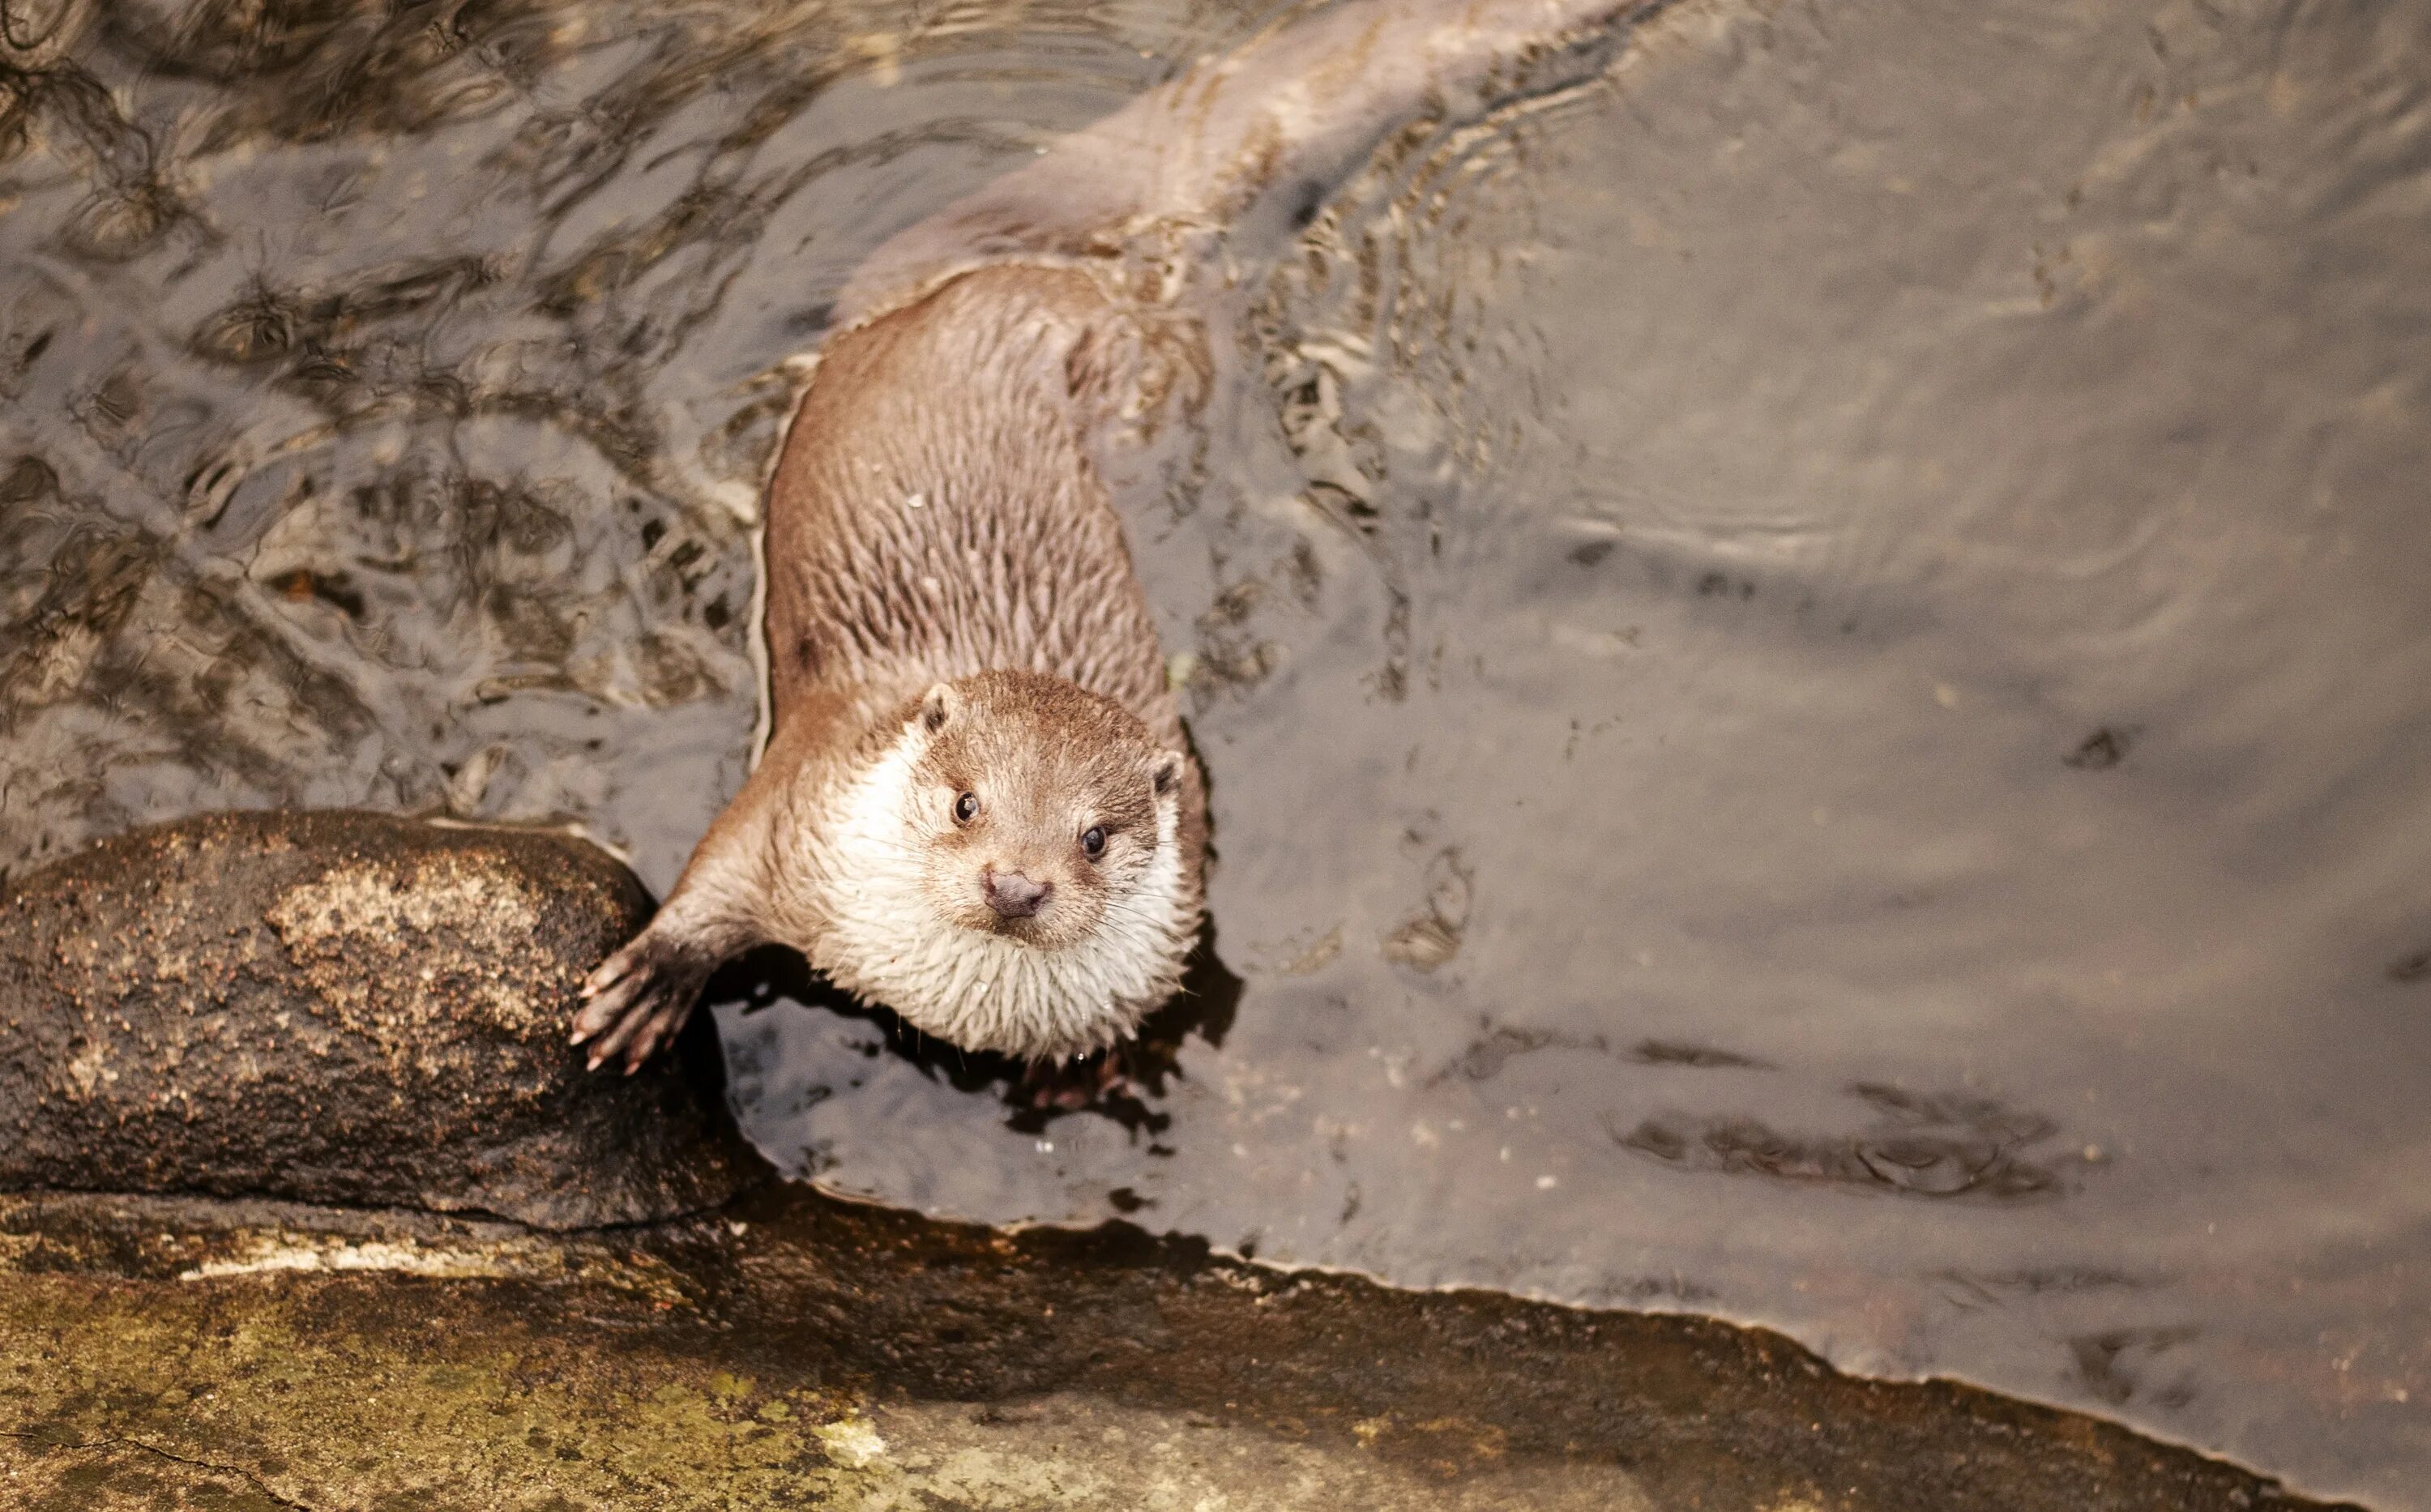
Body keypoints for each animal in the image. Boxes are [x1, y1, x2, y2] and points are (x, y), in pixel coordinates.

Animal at [569, 0, 1653, 1074]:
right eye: (967, 803)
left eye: (1095, 837)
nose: (1016, 885)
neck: (958, 1004)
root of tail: (1040, 271)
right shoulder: (803, 798)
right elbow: (714, 871)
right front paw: (645, 984)